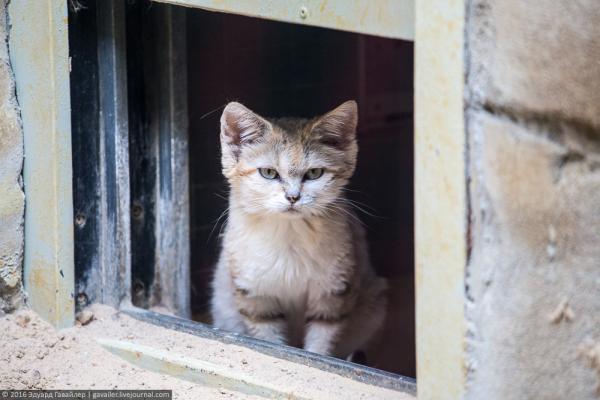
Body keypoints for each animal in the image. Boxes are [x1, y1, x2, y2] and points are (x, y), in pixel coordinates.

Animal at [211, 101, 390, 360]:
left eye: (314, 173)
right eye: (269, 173)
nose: (293, 197)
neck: (289, 232)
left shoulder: (331, 294)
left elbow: (320, 345)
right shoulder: (256, 298)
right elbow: (270, 342)